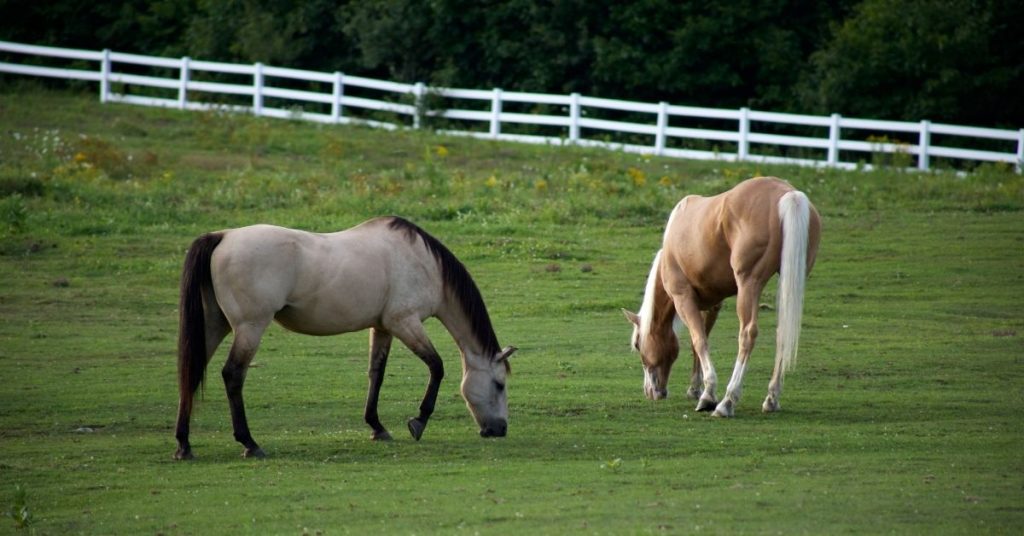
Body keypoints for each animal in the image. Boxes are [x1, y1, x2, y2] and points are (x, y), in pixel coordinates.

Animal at [174, 216, 516, 460]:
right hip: (250, 327)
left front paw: (377, 427)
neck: (423, 262)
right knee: (232, 375)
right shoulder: (404, 322)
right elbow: (437, 366)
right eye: (499, 384)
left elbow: (376, 374)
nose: (500, 429)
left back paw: (184, 445)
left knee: (191, 373)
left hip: (214, 325)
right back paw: (249, 443)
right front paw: (418, 421)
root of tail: (223, 236)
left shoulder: (382, 327)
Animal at [623, 177, 821, 417]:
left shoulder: (683, 298)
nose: (651, 392)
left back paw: (727, 401)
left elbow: (699, 341)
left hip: (749, 285)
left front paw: (708, 395)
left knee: (747, 335)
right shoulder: (712, 304)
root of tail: (788, 193)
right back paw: (771, 399)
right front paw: (695, 389)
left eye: (637, 344)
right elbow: (699, 341)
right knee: (782, 333)